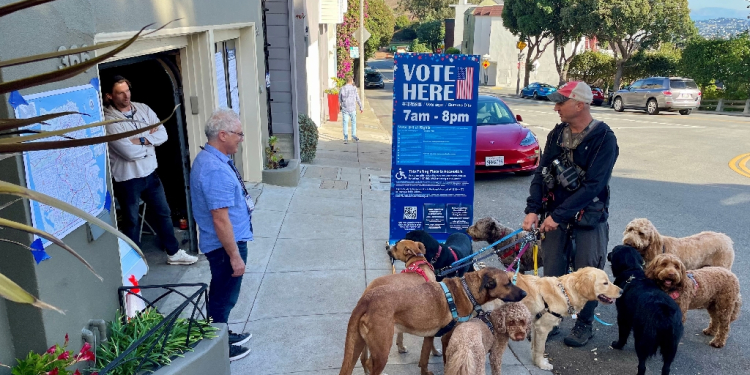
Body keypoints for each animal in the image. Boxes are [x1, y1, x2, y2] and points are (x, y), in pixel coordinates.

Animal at [340, 268, 528, 375]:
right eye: (508, 283)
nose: (525, 294)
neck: (467, 290)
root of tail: (367, 299)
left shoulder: (429, 336)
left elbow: (424, 359)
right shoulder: (448, 339)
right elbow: (446, 362)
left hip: (357, 345)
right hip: (381, 352)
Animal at [358, 241, 440, 374]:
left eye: (396, 246)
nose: (387, 246)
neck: (417, 263)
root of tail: (369, 290)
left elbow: (401, 334)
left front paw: (400, 347)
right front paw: (435, 352)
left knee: (363, 358)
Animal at [612, 245, 688, 375]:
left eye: (612, 251)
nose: (608, 254)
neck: (633, 270)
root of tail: (665, 314)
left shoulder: (623, 316)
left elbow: (623, 334)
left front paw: (617, 345)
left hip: (643, 338)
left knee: (642, 365)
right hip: (670, 345)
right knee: (666, 367)